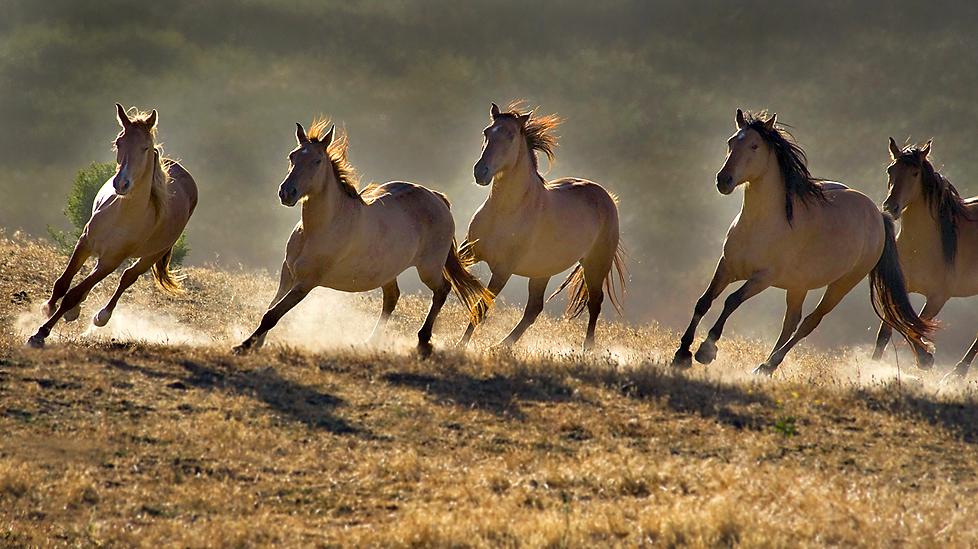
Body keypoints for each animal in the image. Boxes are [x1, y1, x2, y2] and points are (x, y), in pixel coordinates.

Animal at [27, 104, 197, 348]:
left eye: (145, 147)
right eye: (119, 142)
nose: (121, 183)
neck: (122, 215)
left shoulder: (112, 260)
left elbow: (72, 295)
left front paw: (40, 333)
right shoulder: (85, 242)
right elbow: (63, 283)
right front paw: (47, 308)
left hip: (152, 255)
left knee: (128, 277)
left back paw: (101, 317)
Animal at [232, 119, 492, 356]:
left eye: (317, 161)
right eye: (292, 157)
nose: (287, 193)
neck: (319, 228)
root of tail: (438, 198)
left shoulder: (306, 282)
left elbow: (272, 314)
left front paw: (243, 346)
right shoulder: (288, 273)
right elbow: (271, 307)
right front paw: (256, 343)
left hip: (428, 267)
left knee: (442, 290)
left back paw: (423, 342)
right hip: (388, 270)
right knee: (392, 297)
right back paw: (369, 342)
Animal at [456, 102, 625, 352]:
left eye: (510, 135)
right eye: (486, 132)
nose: (481, 172)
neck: (505, 210)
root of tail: (607, 197)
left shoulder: (503, 269)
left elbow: (481, 305)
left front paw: (460, 345)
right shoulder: (470, 250)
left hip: (596, 264)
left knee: (595, 303)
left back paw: (586, 349)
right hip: (542, 270)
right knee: (534, 309)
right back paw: (502, 345)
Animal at [671, 109, 935, 375]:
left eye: (754, 146)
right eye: (731, 142)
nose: (723, 180)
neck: (761, 224)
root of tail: (878, 215)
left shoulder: (762, 278)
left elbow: (731, 301)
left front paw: (706, 350)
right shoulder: (726, 266)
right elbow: (703, 302)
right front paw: (682, 354)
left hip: (842, 284)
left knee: (809, 322)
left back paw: (770, 364)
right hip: (799, 284)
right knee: (791, 322)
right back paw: (765, 367)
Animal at [873, 138, 978, 381]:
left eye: (914, 173)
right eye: (890, 170)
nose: (890, 207)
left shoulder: (938, 298)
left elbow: (914, 327)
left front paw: (926, 359)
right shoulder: (898, 289)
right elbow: (887, 331)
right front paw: (871, 364)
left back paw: (957, 373)